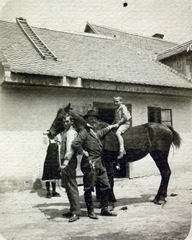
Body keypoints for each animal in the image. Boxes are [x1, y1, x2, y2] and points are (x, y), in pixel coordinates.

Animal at [47, 103, 181, 204]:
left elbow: (109, 178)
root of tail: (167, 128)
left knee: (166, 172)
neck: (95, 131)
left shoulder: (107, 160)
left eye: (61, 118)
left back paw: (160, 198)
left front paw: (109, 199)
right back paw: (159, 197)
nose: (50, 133)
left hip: (160, 155)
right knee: (165, 173)